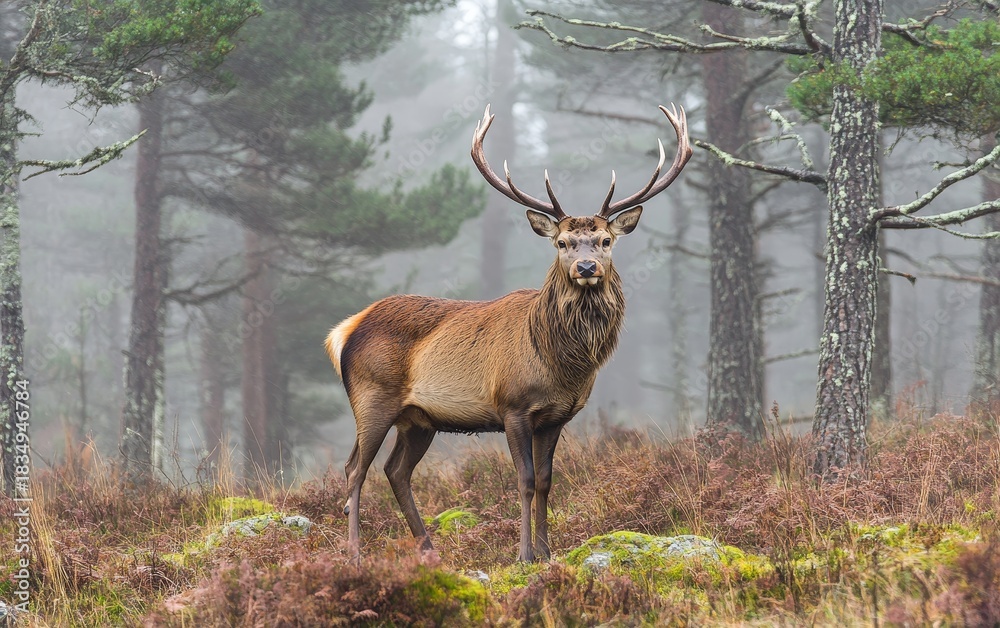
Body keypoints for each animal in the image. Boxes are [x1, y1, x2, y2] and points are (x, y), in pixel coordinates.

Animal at [325, 103, 691, 562]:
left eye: (606, 240)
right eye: (562, 243)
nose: (586, 267)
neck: (561, 364)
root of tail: (345, 329)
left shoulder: (557, 416)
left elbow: (548, 482)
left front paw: (548, 552)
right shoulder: (513, 407)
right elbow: (525, 480)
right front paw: (524, 554)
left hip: (419, 419)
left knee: (396, 470)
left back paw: (429, 549)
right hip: (372, 397)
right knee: (355, 468)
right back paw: (355, 552)